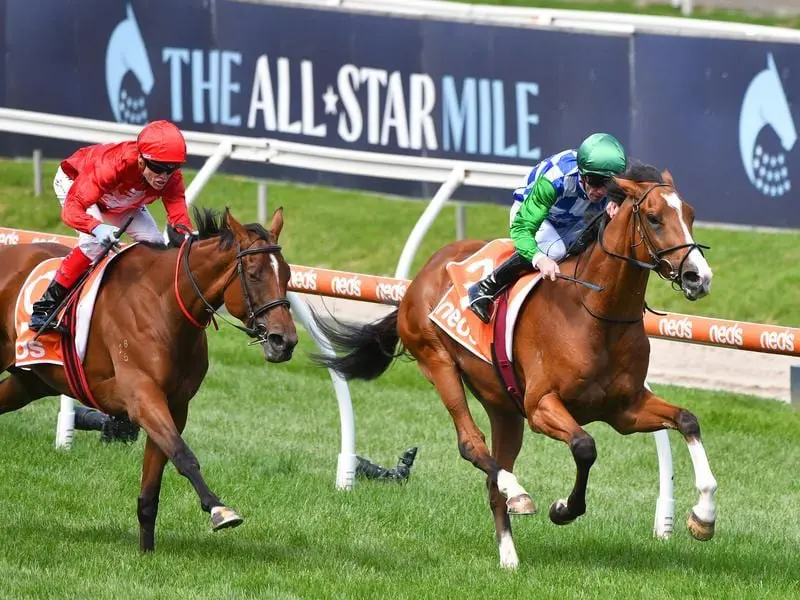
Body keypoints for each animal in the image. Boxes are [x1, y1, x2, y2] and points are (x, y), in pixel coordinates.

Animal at [0, 207, 296, 552]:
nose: (284, 341)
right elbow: (184, 455)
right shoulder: (142, 398)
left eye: (287, 274)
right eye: (253, 274)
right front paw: (219, 510)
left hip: (29, 383)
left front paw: (146, 551)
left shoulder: (175, 405)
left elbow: (154, 483)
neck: (164, 304)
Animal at [318, 168, 720, 568]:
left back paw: (509, 554)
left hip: (504, 407)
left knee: (493, 474)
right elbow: (584, 446)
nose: (698, 277)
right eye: (653, 218)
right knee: (471, 444)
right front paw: (564, 508)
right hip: (437, 362)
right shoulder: (541, 406)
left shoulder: (625, 409)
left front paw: (703, 517)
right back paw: (517, 492)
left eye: (690, 214)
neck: (596, 313)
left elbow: (687, 420)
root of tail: (425, 271)